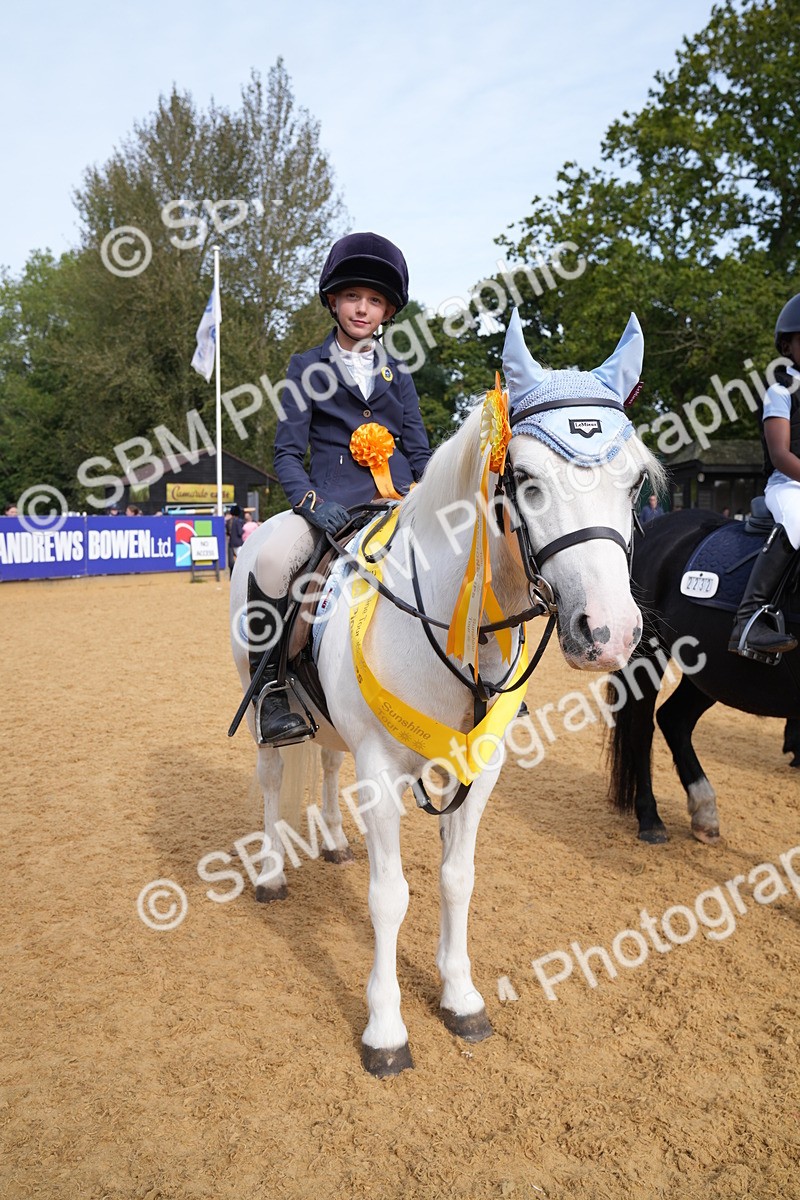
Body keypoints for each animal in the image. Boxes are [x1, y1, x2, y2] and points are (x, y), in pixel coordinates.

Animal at [230, 308, 662, 1076]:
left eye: (637, 479)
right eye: (525, 477)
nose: (609, 633)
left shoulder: (477, 766)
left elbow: (457, 880)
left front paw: (460, 999)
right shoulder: (381, 770)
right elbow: (389, 896)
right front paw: (385, 1030)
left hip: (337, 730)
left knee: (326, 763)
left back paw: (332, 842)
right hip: (263, 703)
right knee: (275, 778)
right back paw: (273, 874)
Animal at [606, 508, 800, 845]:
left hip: (715, 674)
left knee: (674, 718)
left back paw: (705, 813)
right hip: (646, 653)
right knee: (642, 728)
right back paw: (650, 819)